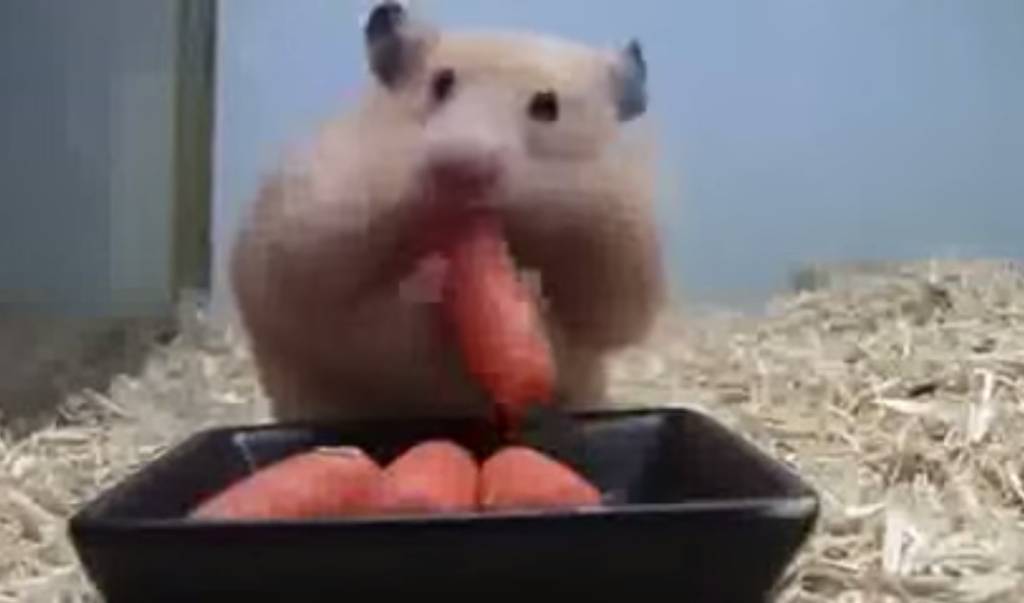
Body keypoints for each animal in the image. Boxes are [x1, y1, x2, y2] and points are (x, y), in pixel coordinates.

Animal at [229, 1, 666, 422]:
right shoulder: (312, 232)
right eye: (441, 84)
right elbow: (357, 294)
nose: (459, 169)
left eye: (547, 107)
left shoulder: (618, 265)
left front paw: (525, 290)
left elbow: (593, 316)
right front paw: (431, 278)